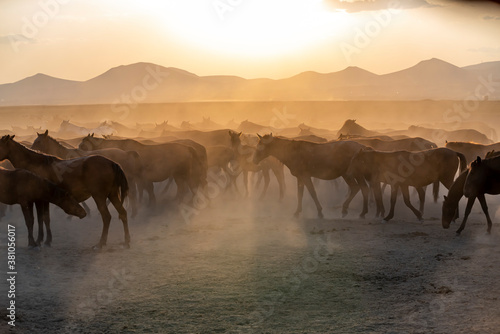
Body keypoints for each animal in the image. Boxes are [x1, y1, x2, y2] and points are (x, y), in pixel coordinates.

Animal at [0, 134, 129, 249]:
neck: (36, 166)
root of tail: (112, 163)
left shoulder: (40, 200)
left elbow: (43, 218)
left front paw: (42, 240)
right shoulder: (41, 199)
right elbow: (43, 218)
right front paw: (44, 240)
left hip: (99, 196)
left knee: (106, 217)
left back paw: (100, 243)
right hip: (113, 195)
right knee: (123, 213)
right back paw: (126, 241)